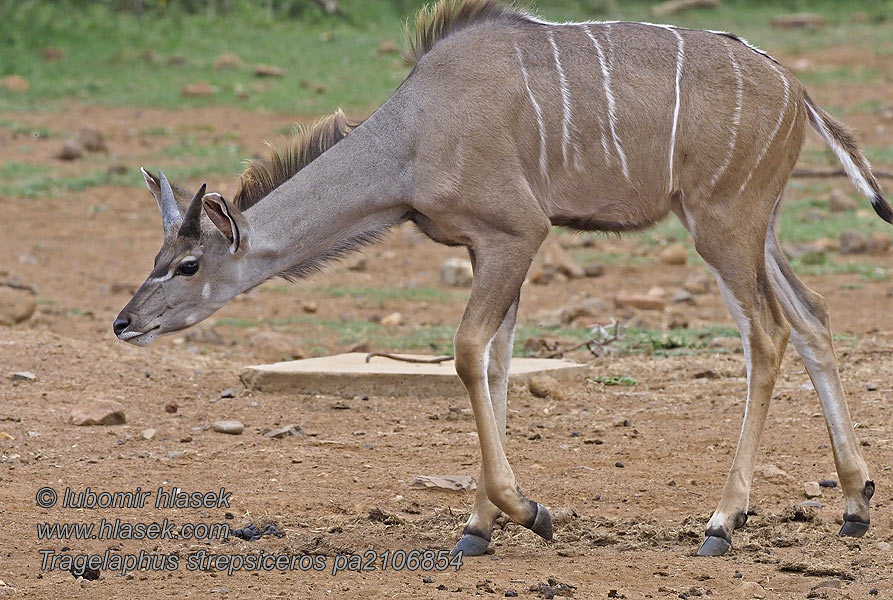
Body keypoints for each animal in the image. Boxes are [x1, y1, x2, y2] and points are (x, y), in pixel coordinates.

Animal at [116, 0, 884, 556]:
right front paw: (479, 527)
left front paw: (529, 513)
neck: (415, 133)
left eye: (187, 264)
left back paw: (723, 521)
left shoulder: (517, 233)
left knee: (767, 335)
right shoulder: (489, 249)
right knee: (812, 318)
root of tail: (796, 90)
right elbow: (497, 366)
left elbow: (467, 355)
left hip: (722, 227)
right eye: (156, 257)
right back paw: (854, 504)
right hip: (760, 230)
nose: (125, 322)